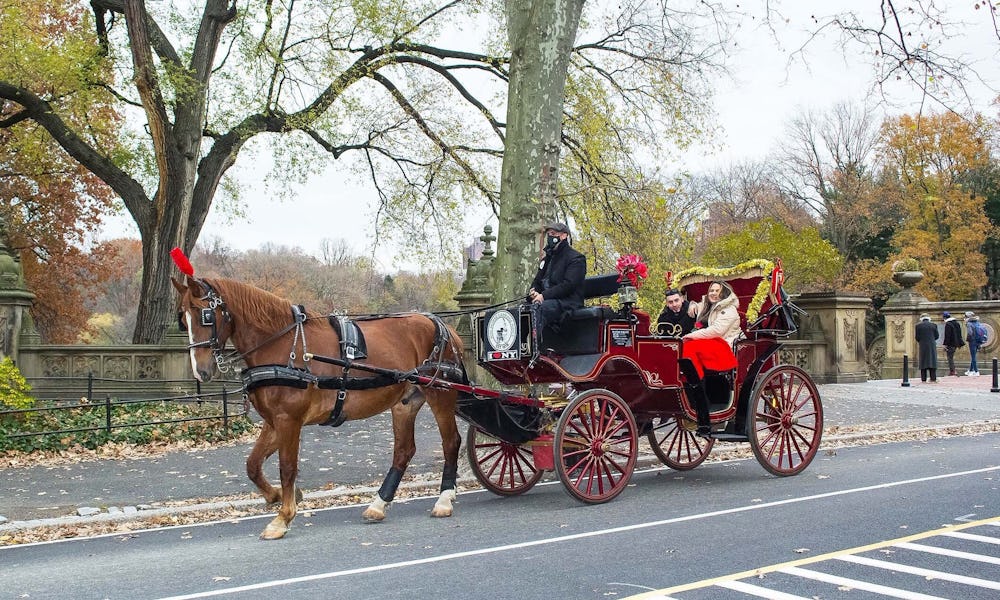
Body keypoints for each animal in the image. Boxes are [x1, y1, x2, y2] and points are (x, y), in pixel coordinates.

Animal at [171, 276, 464, 540]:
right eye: (182, 317)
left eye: (206, 315)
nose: (201, 371)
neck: (283, 345)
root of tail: (443, 327)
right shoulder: (273, 421)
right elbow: (252, 465)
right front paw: (278, 495)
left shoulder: (289, 420)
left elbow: (287, 467)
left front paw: (283, 517)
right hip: (405, 402)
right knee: (404, 451)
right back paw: (379, 505)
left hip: (440, 394)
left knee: (451, 441)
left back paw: (444, 499)